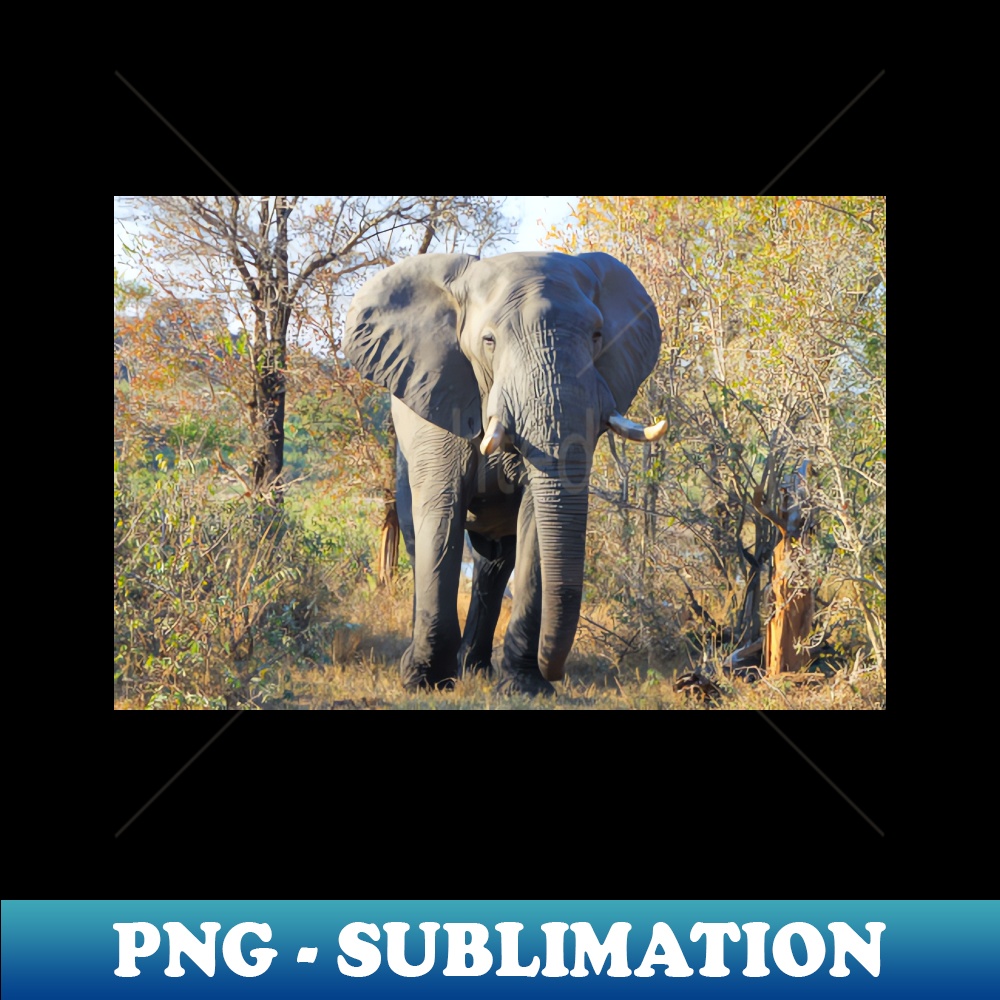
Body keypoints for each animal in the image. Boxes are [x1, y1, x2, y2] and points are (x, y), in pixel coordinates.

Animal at [344, 251, 665, 696]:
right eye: (489, 341)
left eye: (598, 335)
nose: (554, 671)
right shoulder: (437, 396)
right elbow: (442, 512)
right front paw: (424, 681)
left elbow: (534, 525)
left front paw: (525, 688)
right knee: (419, 537)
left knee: (495, 563)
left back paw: (475, 668)